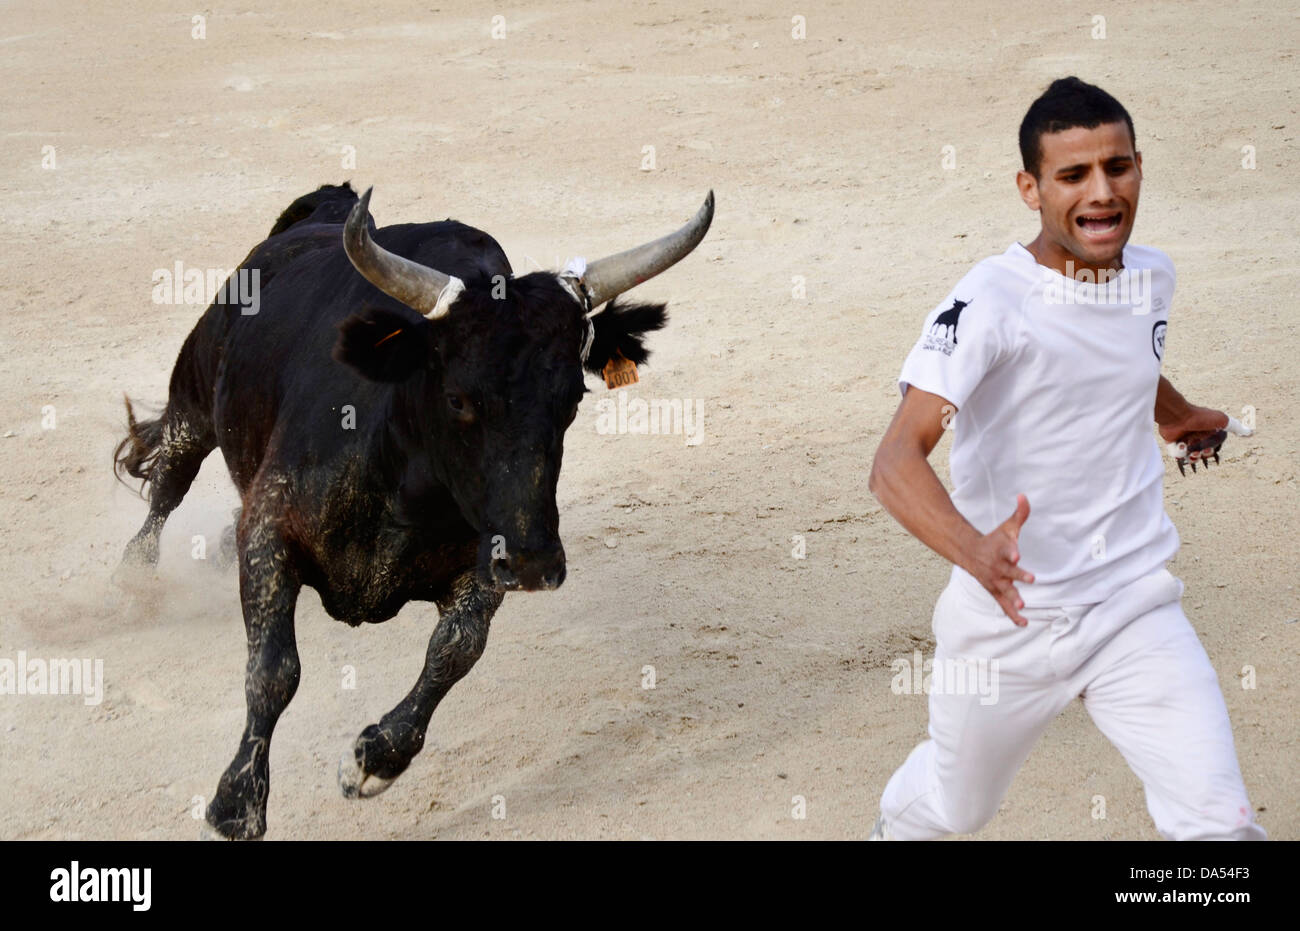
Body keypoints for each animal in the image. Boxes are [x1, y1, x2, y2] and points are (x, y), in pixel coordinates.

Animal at [113, 179, 717, 837]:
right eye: (457, 398)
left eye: (573, 398)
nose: (536, 564)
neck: (403, 476)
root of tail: (323, 208)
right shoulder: (271, 529)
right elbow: (274, 669)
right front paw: (236, 804)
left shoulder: (485, 561)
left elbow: (454, 652)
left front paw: (375, 759)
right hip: (193, 401)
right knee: (168, 483)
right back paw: (132, 578)